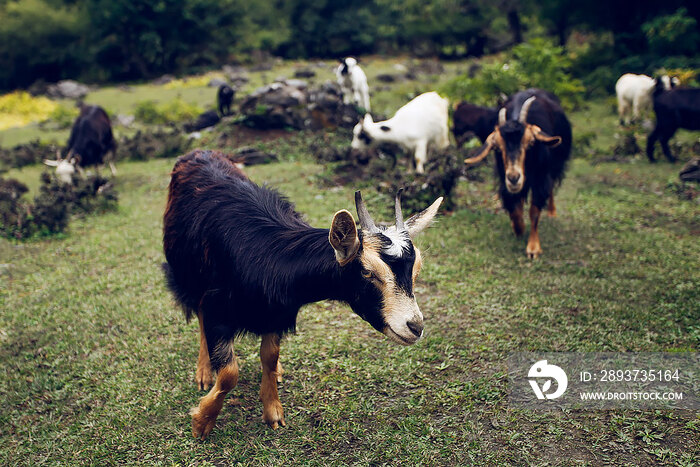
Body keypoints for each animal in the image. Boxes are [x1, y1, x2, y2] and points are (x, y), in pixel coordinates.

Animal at [161, 150, 440, 438]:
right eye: (367, 272)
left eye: (416, 270)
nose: (415, 326)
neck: (267, 259)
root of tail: (199, 152)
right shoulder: (218, 305)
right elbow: (228, 373)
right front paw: (202, 421)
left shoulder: (277, 312)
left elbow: (269, 356)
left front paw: (272, 409)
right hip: (185, 275)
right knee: (198, 313)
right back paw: (205, 371)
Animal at [464, 90, 568, 260]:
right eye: (497, 148)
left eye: (531, 143)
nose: (514, 178)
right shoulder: (504, 182)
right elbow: (514, 209)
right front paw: (519, 229)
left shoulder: (540, 179)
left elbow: (534, 211)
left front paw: (533, 248)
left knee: (551, 185)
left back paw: (552, 212)